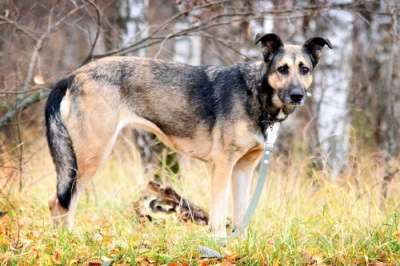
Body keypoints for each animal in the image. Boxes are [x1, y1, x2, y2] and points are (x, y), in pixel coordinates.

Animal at [44, 32, 332, 238]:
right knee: (60, 202)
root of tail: (73, 75)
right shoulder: (223, 166)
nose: (298, 95)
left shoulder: (243, 169)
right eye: (282, 69)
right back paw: (67, 241)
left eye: (304, 69)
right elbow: (218, 214)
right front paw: (218, 244)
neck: (257, 95)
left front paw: (239, 245)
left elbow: (241, 214)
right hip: (91, 154)